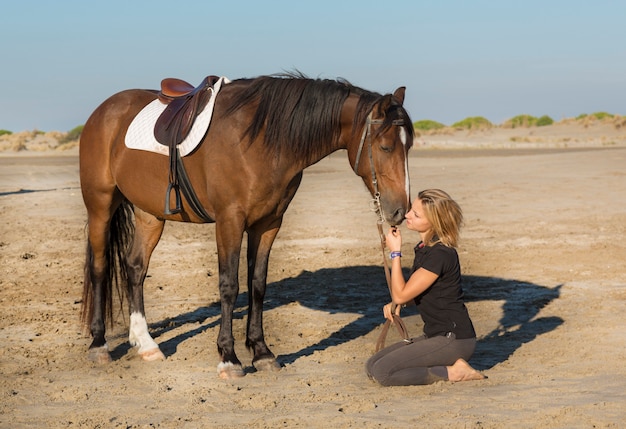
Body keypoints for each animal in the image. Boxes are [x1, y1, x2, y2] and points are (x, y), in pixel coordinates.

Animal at [78, 73, 412, 378]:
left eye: (408, 147)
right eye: (385, 147)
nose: (400, 211)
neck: (261, 140)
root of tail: (103, 111)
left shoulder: (268, 224)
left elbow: (257, 285)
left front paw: (261, 352)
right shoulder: (230, 221)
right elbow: (229, 286)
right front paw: (229, 357)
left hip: (150, 215)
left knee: (135, 267)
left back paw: (145, 343)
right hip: (100, 206)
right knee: (100, 267)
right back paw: (99, 345)